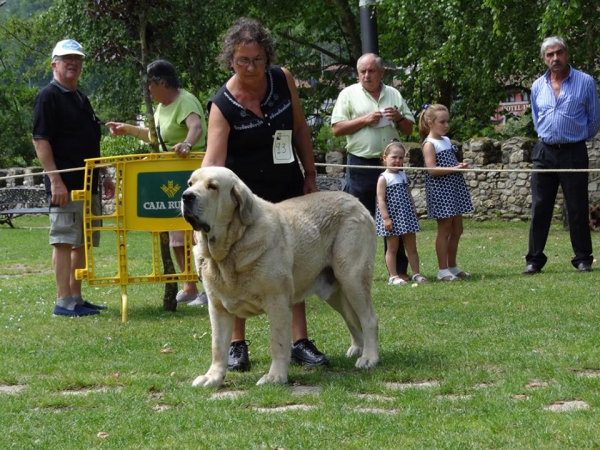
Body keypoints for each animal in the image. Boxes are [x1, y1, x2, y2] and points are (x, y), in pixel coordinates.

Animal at [182, 168, 380, 386]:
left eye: (213, 187)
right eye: (190, 183)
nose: (186, 196)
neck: (230, 248)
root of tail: (355, 201)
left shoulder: (277, 302)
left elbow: (277, 342)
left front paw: (275, 376)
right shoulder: (218, 308)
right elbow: (218, 346)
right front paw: (213, 377)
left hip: (352, 278)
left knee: (369, 319)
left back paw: (369, 358)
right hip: (336, 293)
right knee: (352, 319)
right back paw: (358, 348)